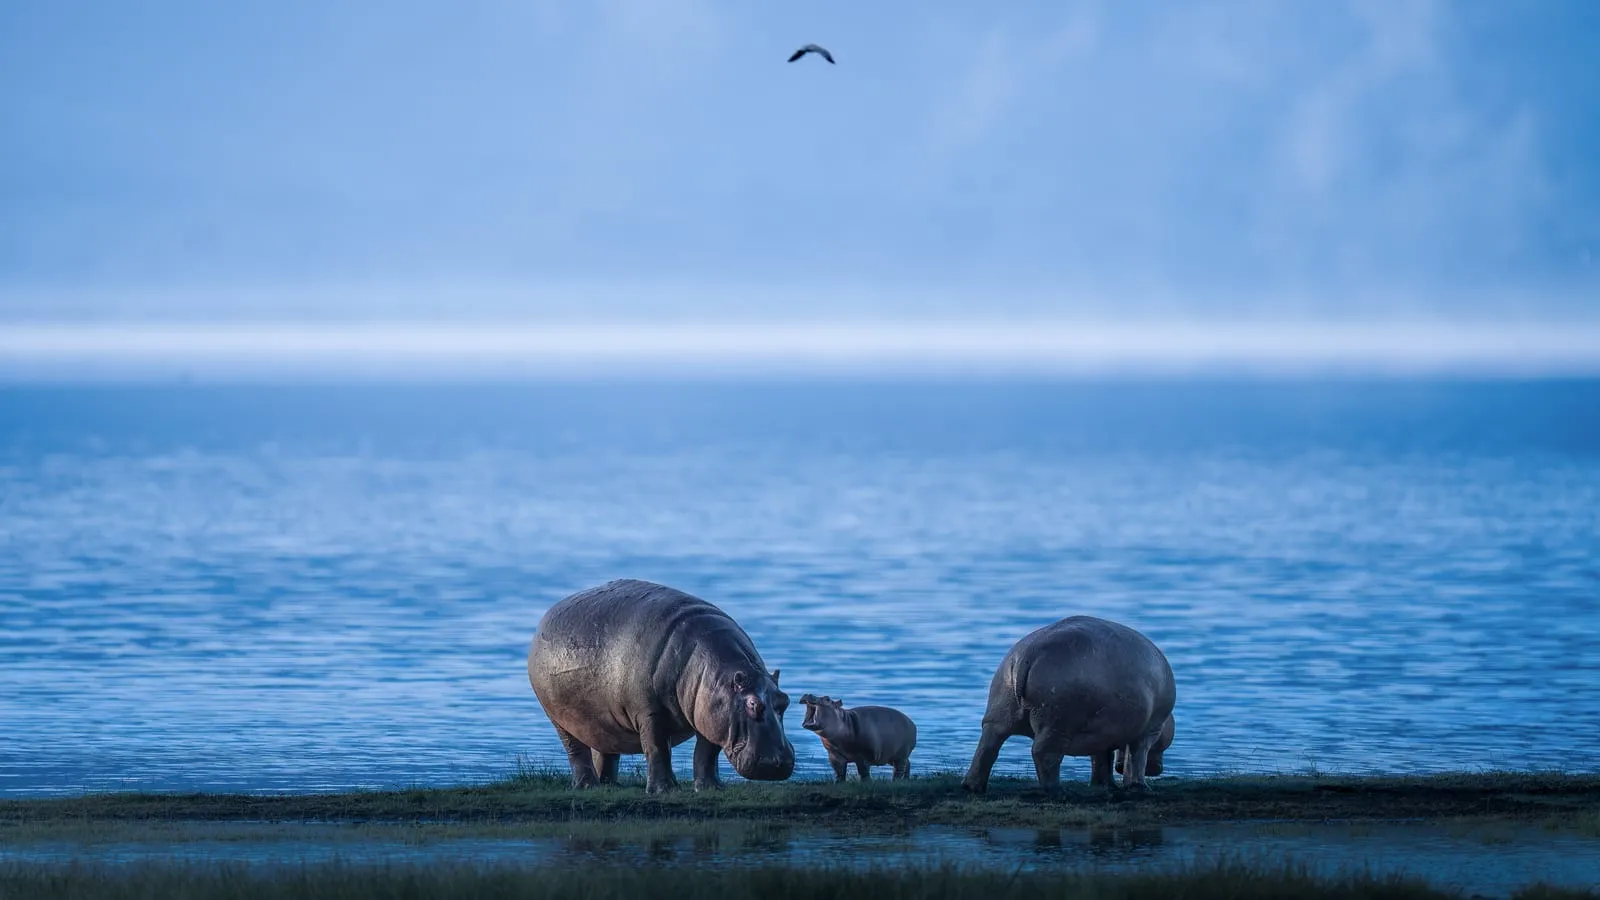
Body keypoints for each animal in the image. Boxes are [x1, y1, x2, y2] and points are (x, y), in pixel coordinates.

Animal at [527, 578, 796, 793]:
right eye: (752, 704)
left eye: (785, 701)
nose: (779, 763)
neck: (716, 674)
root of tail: (545, 618)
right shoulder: (650, 712)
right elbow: (657, 749)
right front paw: (664, 790)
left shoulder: (710, 714)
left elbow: (706, 753)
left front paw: (710, 788)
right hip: (559, 718)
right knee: (576, 751)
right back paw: (587, 786)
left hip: (601, 720)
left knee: (605, 749)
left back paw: (609, 784)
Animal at [961, 615, 1175, 795]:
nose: (1120, 768)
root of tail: (1029, 654)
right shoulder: (1149, 730)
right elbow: (1137, 756)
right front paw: (1140, 787)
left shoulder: (1103, 732)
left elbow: (1101, 758)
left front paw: (1104, 786)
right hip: (1058, 722)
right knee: (1044, 753)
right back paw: (1056, 790)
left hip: (1000, 708)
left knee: (988, 746)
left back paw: (973, 786)